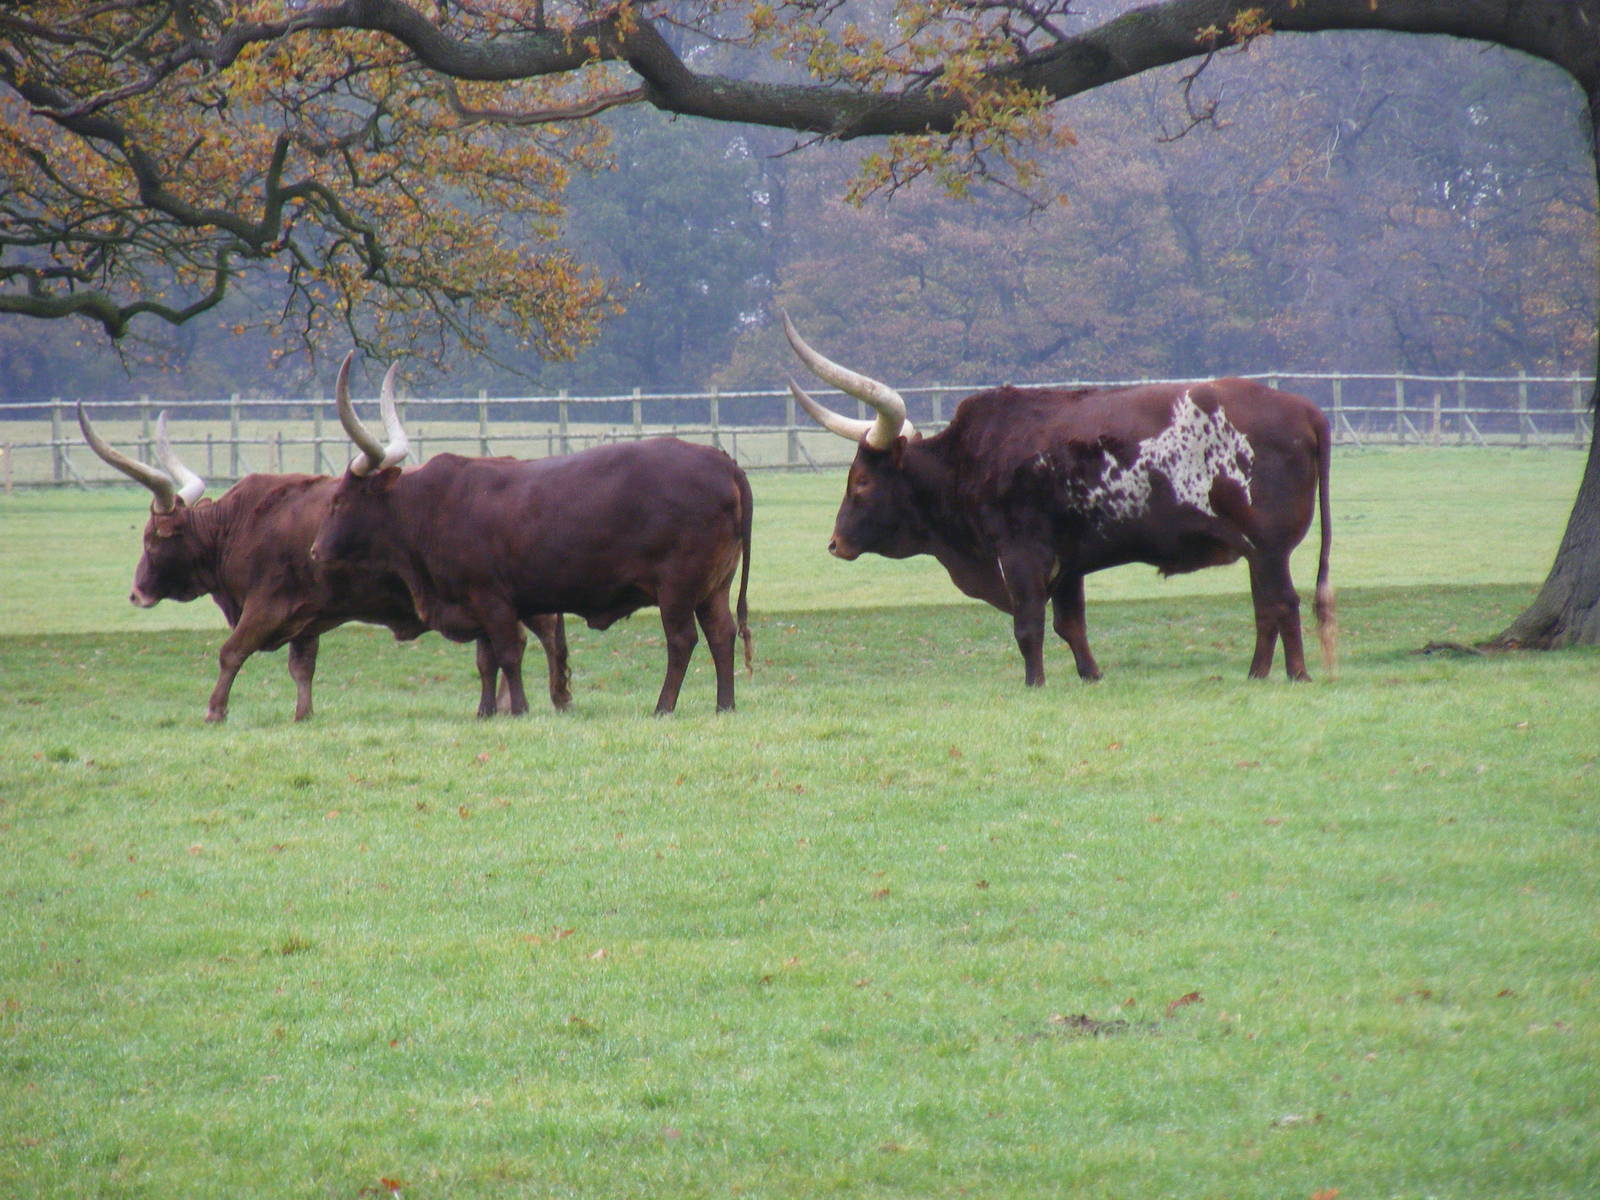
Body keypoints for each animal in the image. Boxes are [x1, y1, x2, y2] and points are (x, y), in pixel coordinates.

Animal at [78, 368, 571, 722]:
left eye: (151, 538)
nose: (136, 593)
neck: (237, 526)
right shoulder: (306, 616)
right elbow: (302, 666)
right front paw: (303, 713)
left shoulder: (264, 605)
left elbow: (231, 652)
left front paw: (215, 710)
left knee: (540, 634)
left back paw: (549, 695)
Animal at [309, 359, 754, 717]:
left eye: (339, 500)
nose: (315, 550)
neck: (429, 506)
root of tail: (722, 461)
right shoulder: (477, 604)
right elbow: (485, 660)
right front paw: (485, 711)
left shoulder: (492, 599)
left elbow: (508, 653)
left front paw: (519, 708)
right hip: (713, 586)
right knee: (721, 633)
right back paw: (725, 705)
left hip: (678, 586)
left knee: (682, 640)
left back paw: (663, 706)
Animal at [781, 312, 1335, 686]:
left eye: (861, 482)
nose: (834, 543)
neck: (967, 459)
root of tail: (1307, 411)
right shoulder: (1069, 564)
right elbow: (1072, 626)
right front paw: (1091, 677)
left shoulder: (1022, 555)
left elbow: (1029, 625)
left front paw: (1035, 683)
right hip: (1257, 552)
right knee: (1267, 608)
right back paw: (1258, 673)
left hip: (1268, 547)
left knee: (1282, 603)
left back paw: (1296, 675)